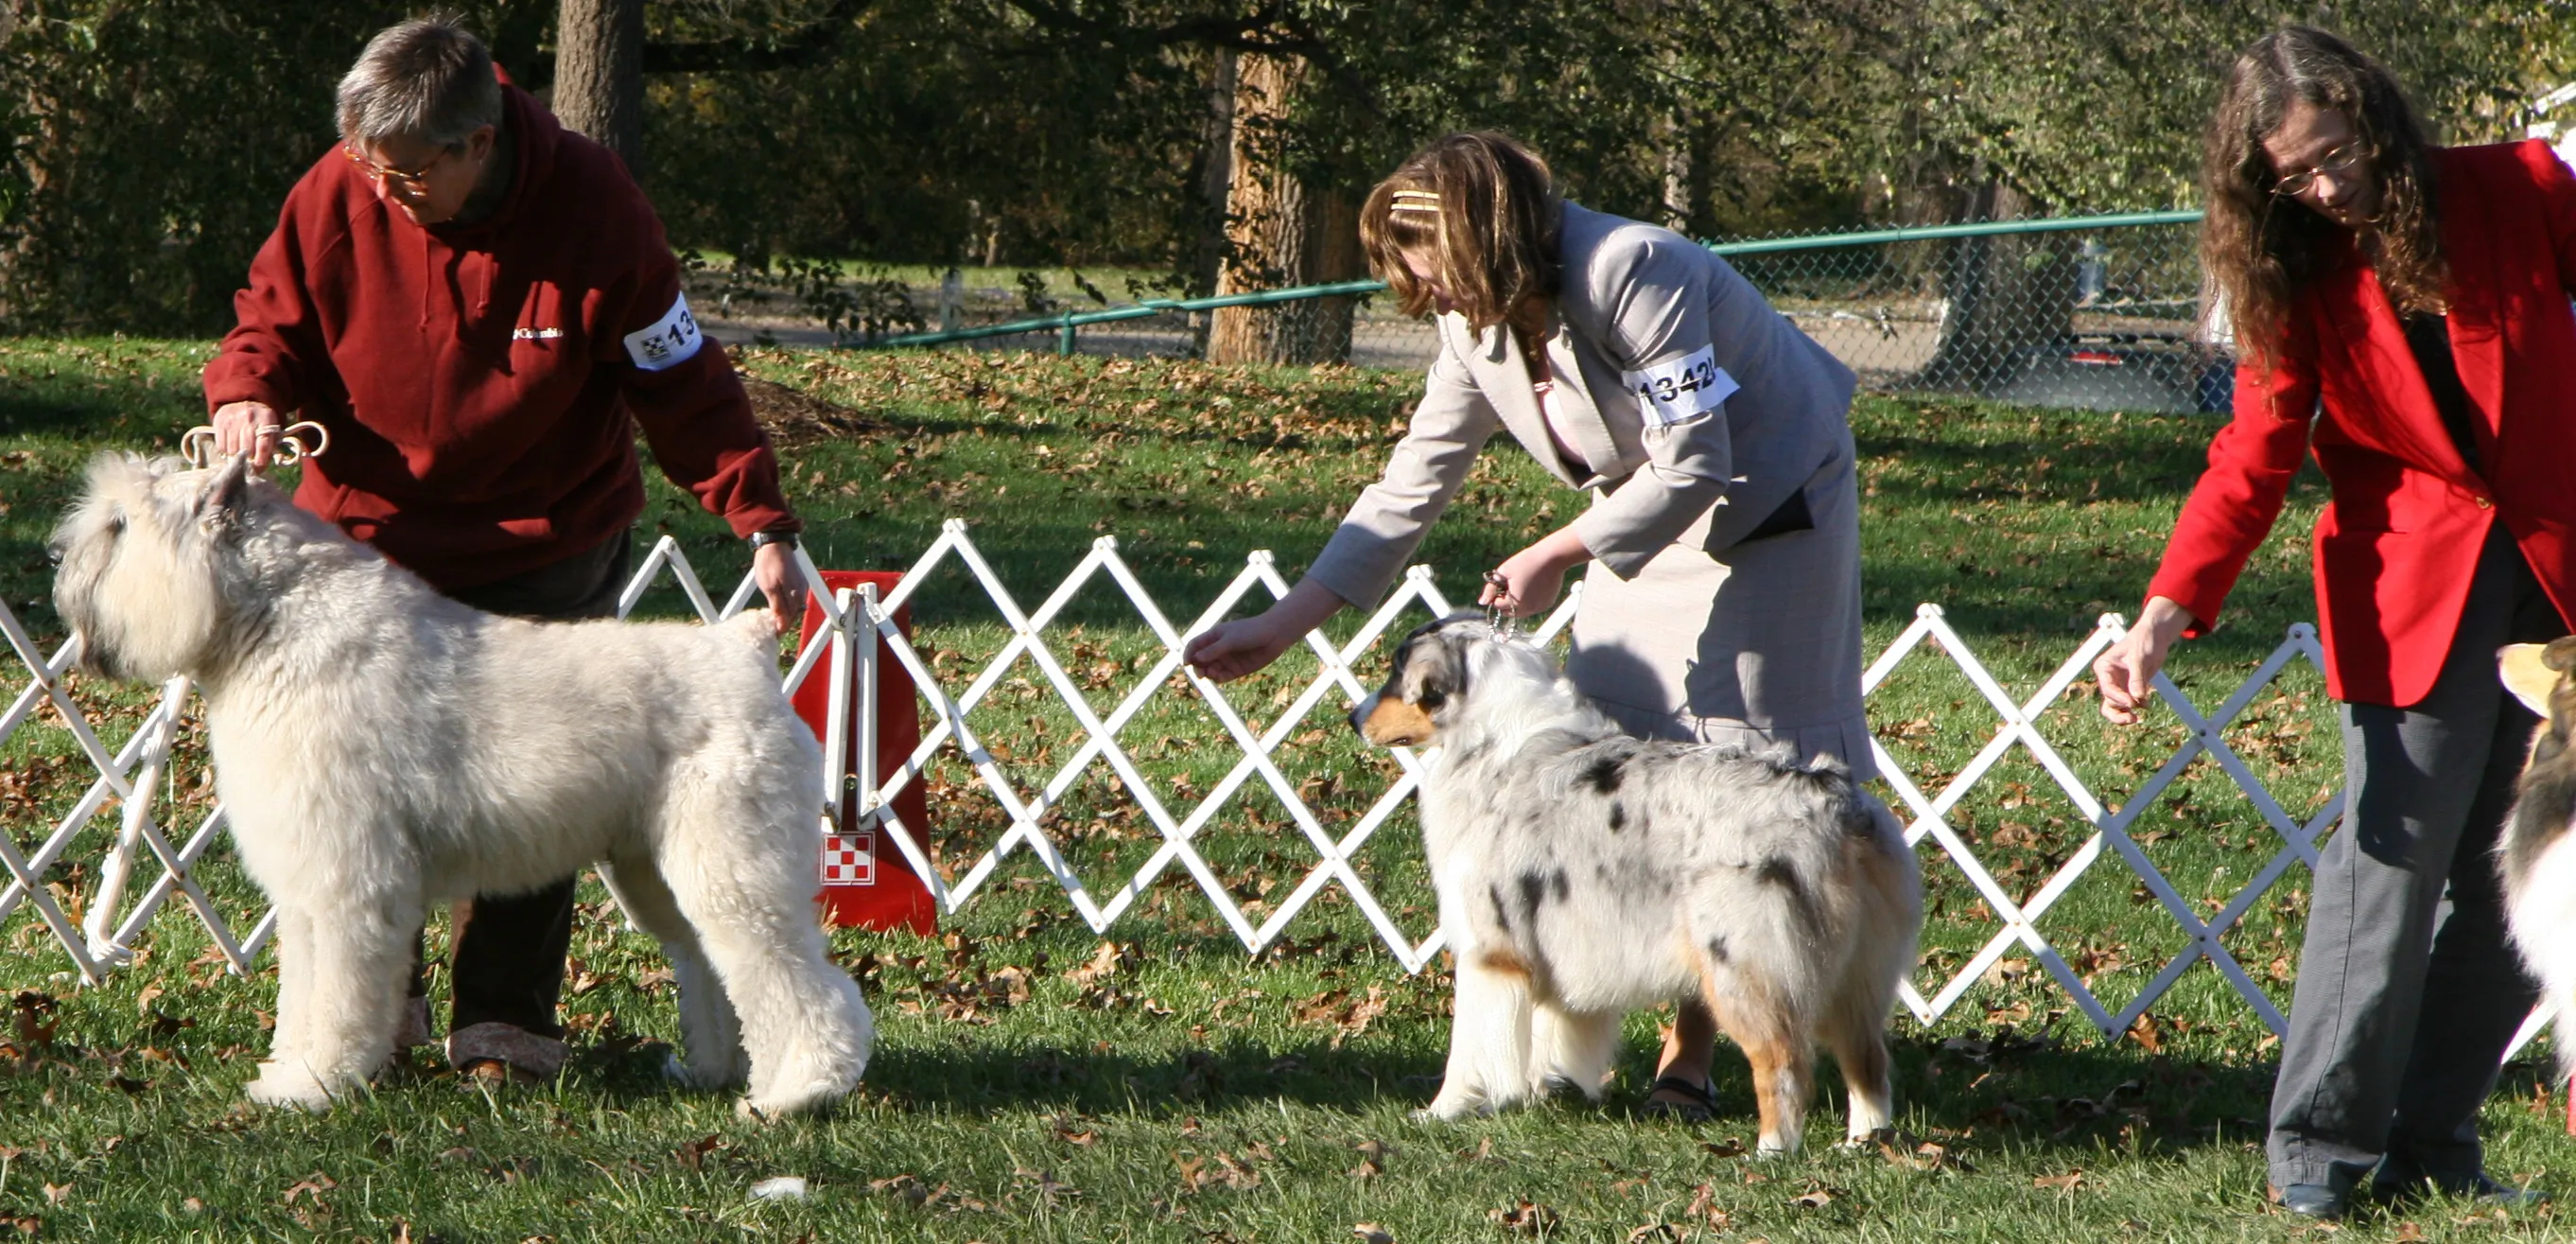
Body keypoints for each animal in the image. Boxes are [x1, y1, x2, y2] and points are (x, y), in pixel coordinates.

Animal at [47, 458, 876, 1117]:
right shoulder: (308, 889)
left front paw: (318, 1083)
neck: (278, 625)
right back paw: (716, 1070)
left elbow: (337, 995)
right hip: (660, 873)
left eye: (120, 523)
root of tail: (744, 645)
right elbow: (304, 994)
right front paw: (289, 1075)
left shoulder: (348, 883)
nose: (55, 555)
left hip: (732, 874)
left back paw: (797, 1091)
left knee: (802, 982)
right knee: (711, 965)